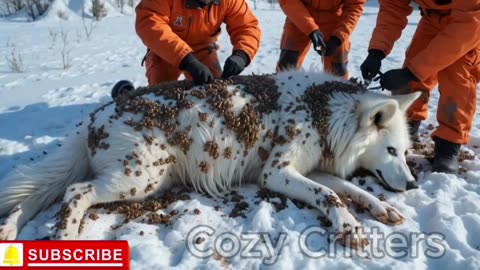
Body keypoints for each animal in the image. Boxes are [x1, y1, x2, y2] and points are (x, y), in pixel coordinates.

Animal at [0, 71, 420, 249]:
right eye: (392, 151)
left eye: (405, 152)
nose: (414, 185)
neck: (324, 113)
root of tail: (94, 116)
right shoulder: (276, 174)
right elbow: (330, 195)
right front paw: (350, 227)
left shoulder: (312, 168)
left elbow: (347, 188)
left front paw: (381, 209)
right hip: (139, 181)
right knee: (74, 191)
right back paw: (66, 238)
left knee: (38, 196)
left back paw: (9, 229)